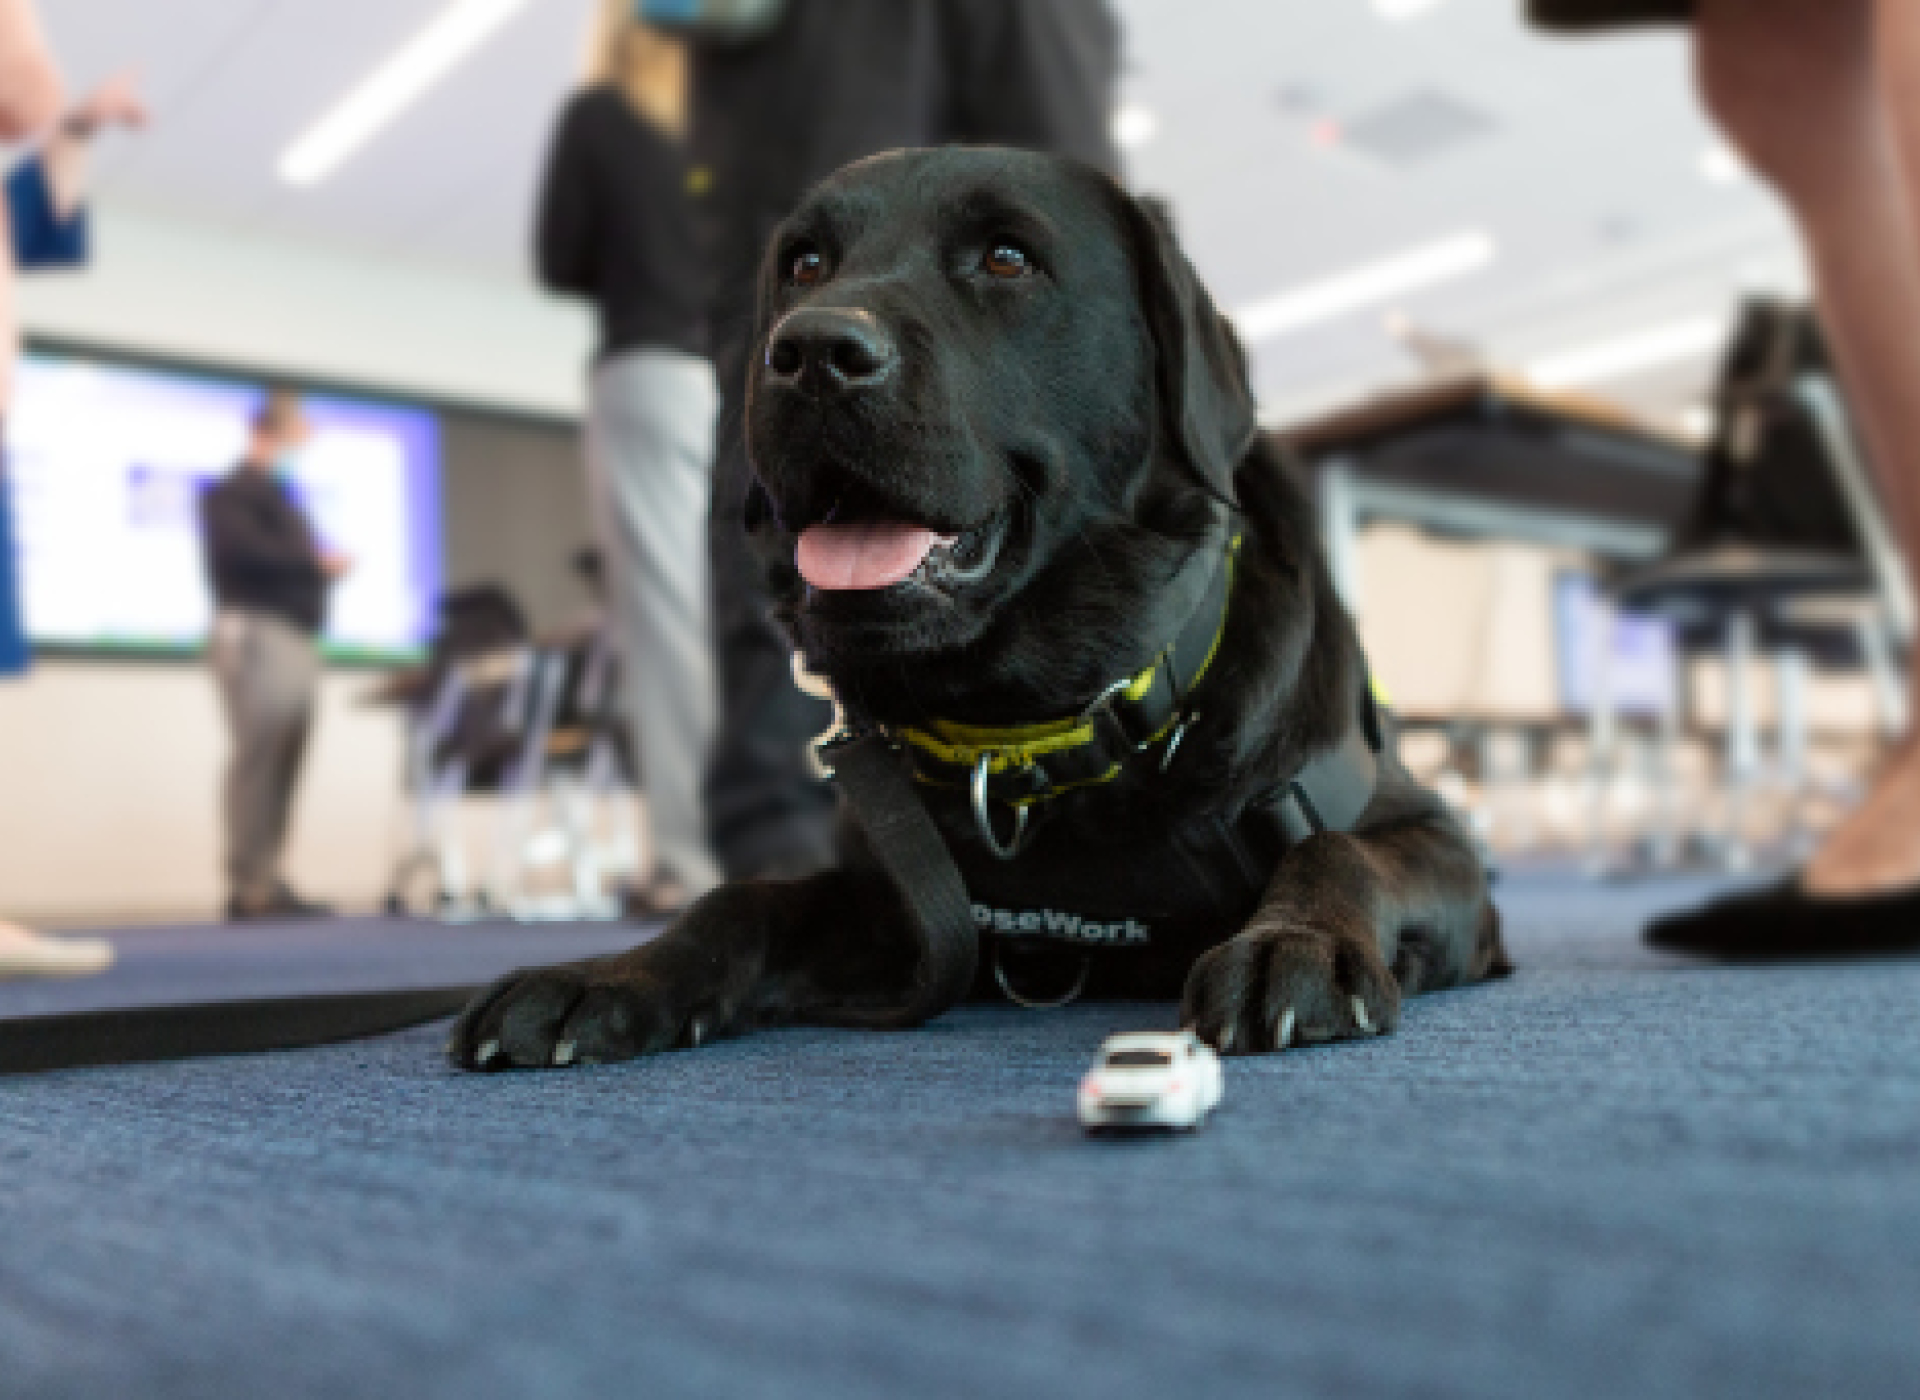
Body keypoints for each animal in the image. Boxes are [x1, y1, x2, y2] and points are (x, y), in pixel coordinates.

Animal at [445, 147, 1497, 1067]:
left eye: (1006, 257)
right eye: (806, 263)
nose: (812, 350)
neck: (1033, 734)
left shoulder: (1439, 847)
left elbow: (1337, 851)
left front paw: (1295, 944)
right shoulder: (895, 904)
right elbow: (744, 900)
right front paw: (609, 976)